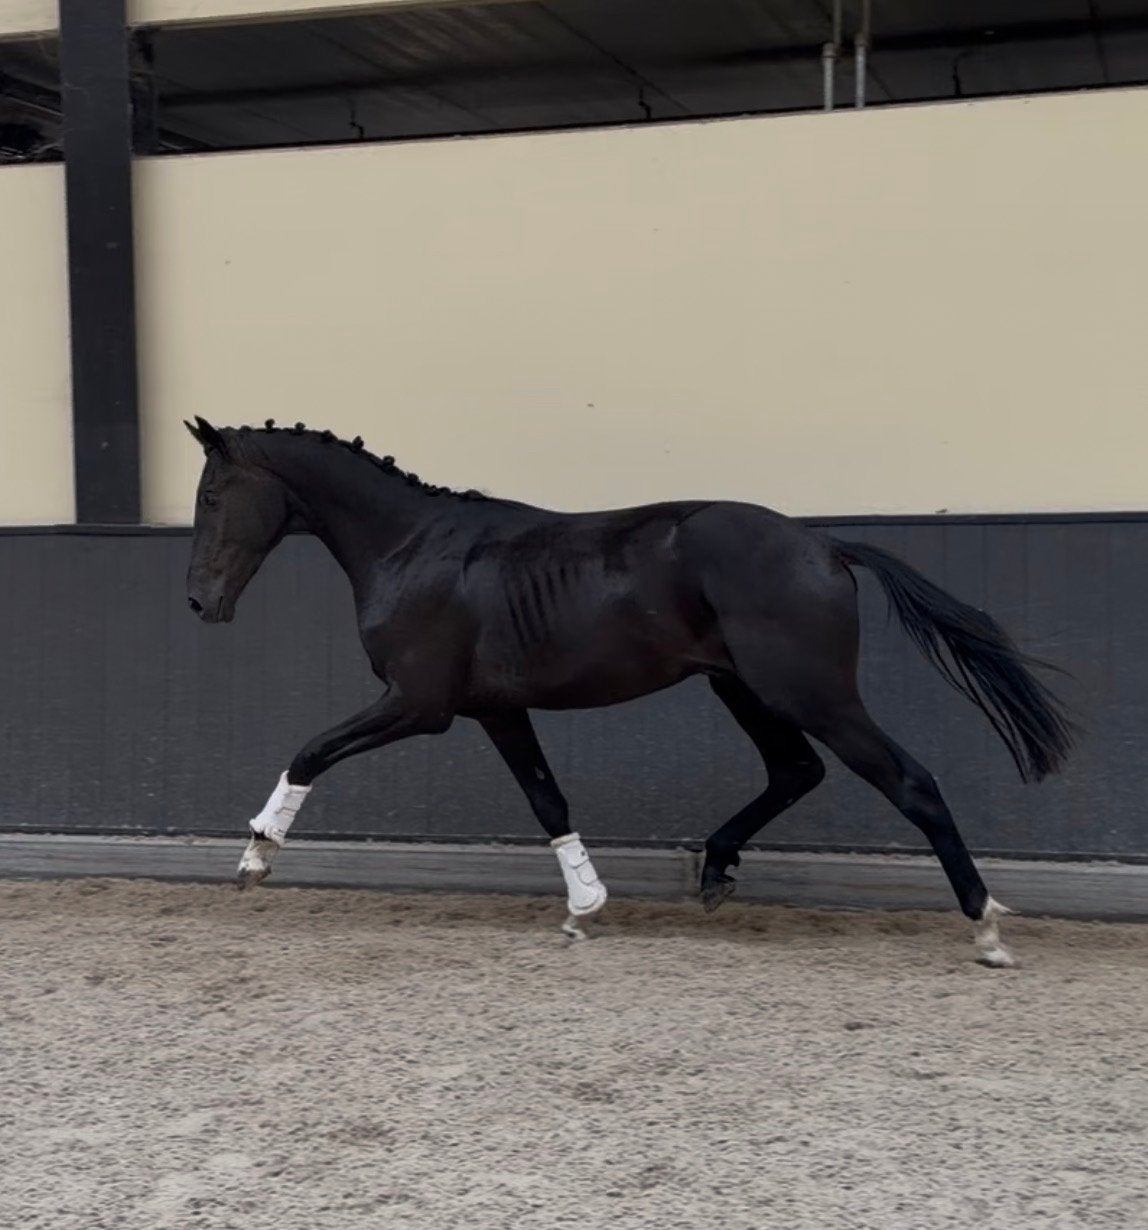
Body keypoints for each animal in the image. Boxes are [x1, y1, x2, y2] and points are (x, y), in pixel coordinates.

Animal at [184, 417, 1073, 966]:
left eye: (212, 495)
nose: (199, 602)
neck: (412, 547)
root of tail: (825, 547)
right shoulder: (494, 709)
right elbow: (547, 799)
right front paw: (585, 907)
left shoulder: (420, 705)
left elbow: (311, 749)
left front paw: (255, 854)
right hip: (744, 690)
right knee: (795, 771)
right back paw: (714, 872)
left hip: (811, 694)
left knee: (910, 782)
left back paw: (987, 929)